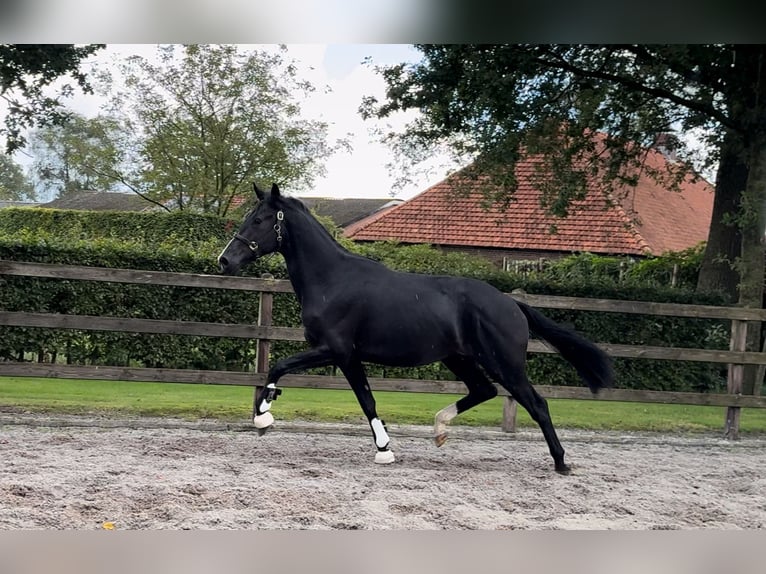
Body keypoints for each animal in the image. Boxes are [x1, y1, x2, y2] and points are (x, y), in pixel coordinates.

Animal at [219, 183, 616, 472]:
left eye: (259, 220)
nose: (224, 261)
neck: (333, 280)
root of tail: (510, 303)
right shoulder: (346, 356)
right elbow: (364, 398)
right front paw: (384, 449)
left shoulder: (336, 350)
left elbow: (284, 368)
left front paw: (264, 418)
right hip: (460, 359)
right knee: (484, 390)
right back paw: (439, 429)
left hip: (505, 363)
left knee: (536, 403)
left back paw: (561, 463)